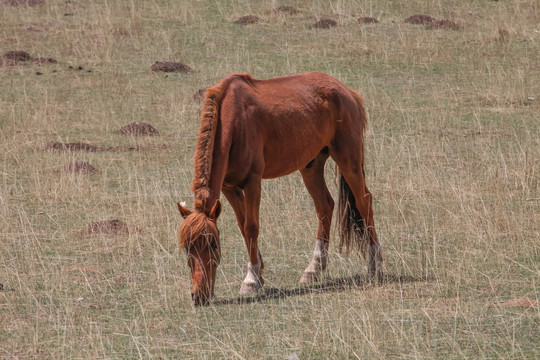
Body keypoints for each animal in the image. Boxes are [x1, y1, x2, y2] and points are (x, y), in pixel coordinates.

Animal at [178, 71, 384, 306]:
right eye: (187, 248)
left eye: (213, 245)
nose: (199, 296)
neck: (235, 119)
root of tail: (346, 90)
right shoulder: (229, 188)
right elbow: (242, 226)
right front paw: (259, 272)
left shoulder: (252, 182)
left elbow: (251, 227)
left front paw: (251, 280)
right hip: (311, 166)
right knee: (325, 206)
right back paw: (314, 268)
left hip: (348, 160)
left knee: (364, 200)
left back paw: (375, 264)